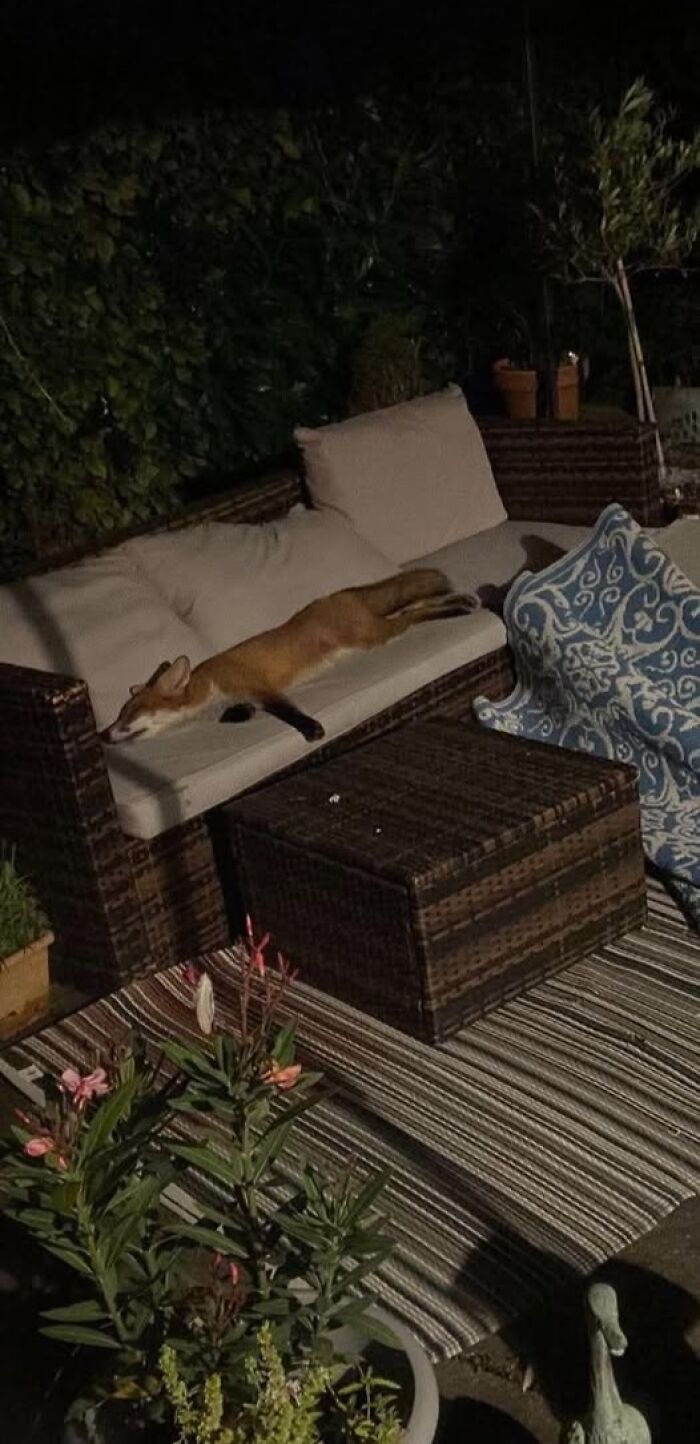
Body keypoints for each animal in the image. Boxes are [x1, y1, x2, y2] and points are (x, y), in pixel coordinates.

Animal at [100, 568, 477, 746]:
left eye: (129, 714)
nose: (103, 736)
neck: (207, 690)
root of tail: (340, 594)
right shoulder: (241, 700)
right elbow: (240, 714)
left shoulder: (256, 686)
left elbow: (287, 711)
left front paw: (311, 728)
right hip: (380, 628)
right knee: (418, 607)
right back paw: (462, 602)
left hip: (375, 636)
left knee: (415, 614)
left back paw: (457, 607)